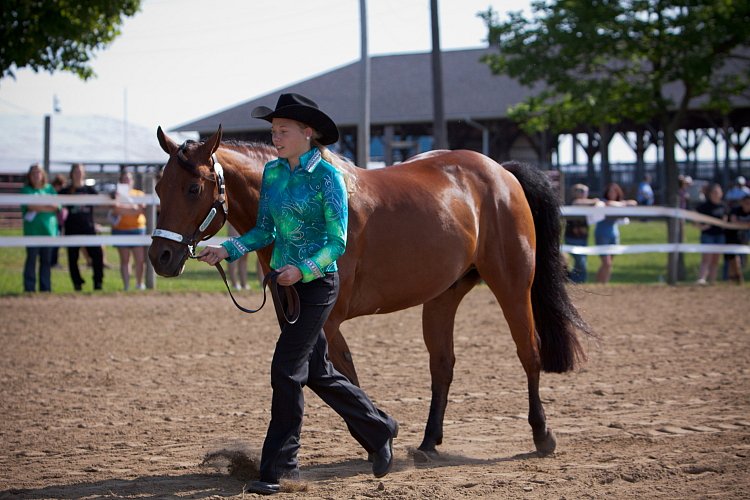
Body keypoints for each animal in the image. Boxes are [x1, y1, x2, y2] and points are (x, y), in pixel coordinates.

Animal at [150, 125, 596, 458]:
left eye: (193, 189)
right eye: (157, 188)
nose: (161, 256)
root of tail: (501, 172)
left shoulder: (327, 320)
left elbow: (342, 375)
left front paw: (378, 436)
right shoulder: (300, 321)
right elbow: (331, 377)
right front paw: (378, 434)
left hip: (512, 285)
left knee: (529, 352)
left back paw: (542, 436)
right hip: (442, 296)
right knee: (443, 365)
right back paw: (429, 443)